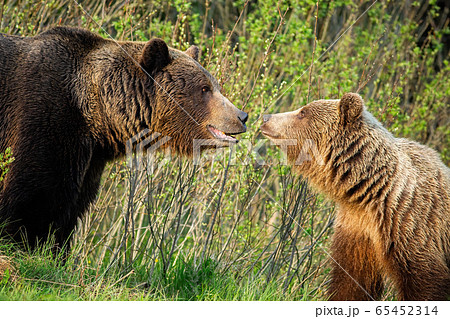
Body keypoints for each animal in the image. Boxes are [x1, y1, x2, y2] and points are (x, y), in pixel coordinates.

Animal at [0, 26, 248, 250]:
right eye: (204, 88)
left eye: (215, 85)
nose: (242, 116)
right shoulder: (45, 117)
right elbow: (33, 199)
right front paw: (25, 246)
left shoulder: (90, 159)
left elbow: (70, 210)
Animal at [260, 93, 450, 302]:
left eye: (303, 112)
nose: (266, 117)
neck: (371, 190)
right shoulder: (357, 228)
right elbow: (351, 282)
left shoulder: (412, 225)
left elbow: (424, 283)